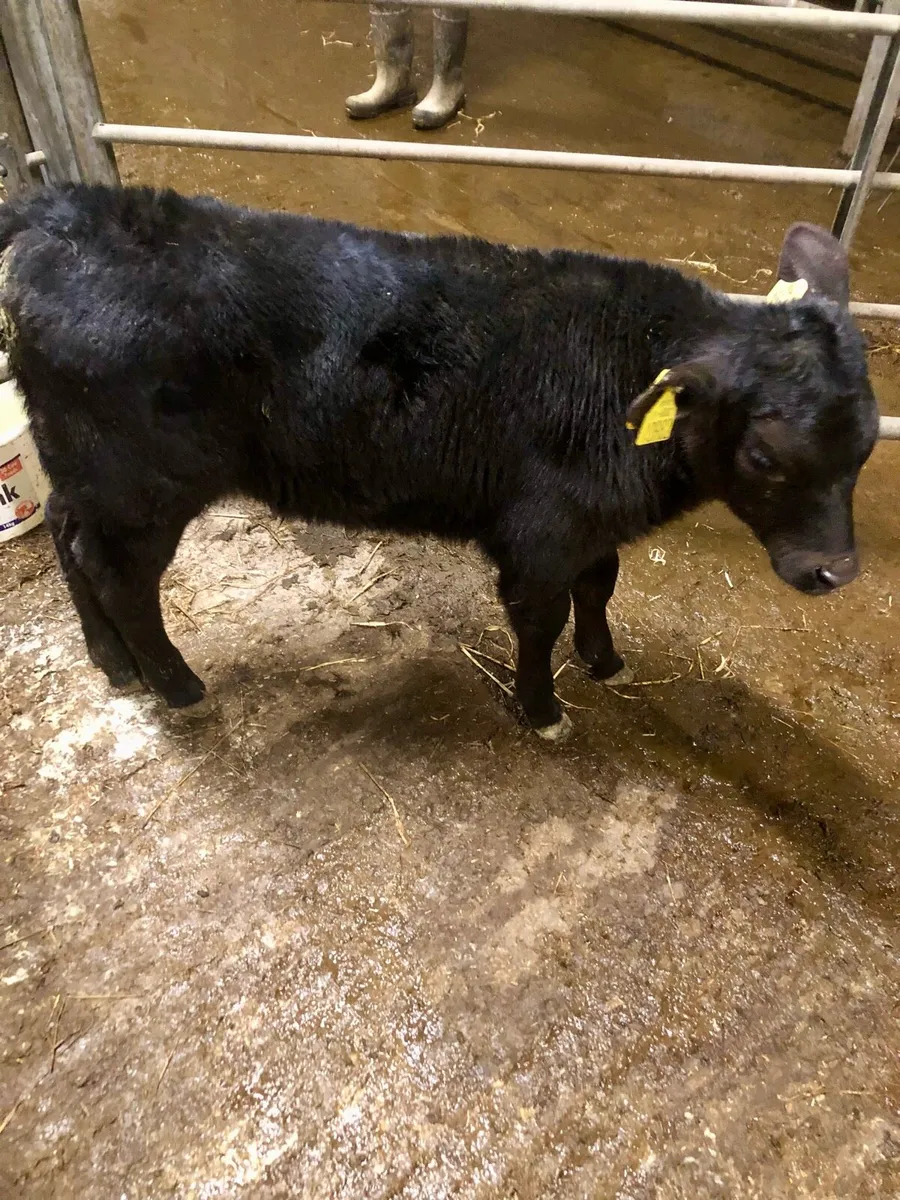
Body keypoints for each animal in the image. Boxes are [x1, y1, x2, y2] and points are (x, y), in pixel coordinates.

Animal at [0, 184, 878, 740]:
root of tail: (68, 211)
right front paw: (543, 710)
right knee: (117, 574)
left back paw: (115, 665)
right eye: (764, 453)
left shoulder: (590, 525)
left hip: (83, 467)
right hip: (143, 486)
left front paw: (605, 662)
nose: (835, 570)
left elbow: (601, 586)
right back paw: (177, 684)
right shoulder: (540, 533)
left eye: (869, 443)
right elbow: (540, 617)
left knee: (69, 542)